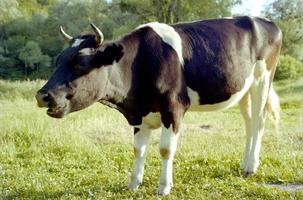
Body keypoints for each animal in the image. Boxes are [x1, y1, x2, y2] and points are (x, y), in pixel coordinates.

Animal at [36, 16, 284, 195]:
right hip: (243, 89)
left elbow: (165, 149)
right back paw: (245, 164)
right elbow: (138, 149)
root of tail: (265, 21)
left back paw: (252, 166)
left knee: (259, 122)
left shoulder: (173, 108)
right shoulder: (139, 115)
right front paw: (133, 183)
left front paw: (164, 187)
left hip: (262, 80)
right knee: (249, 123)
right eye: (57, 60)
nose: (42, 95)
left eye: (81, 63)